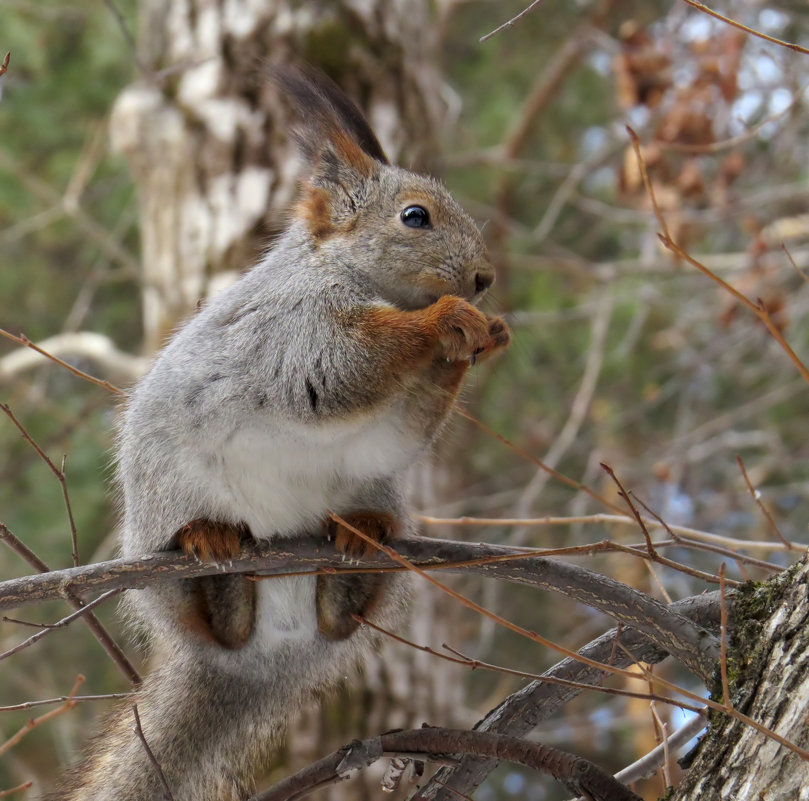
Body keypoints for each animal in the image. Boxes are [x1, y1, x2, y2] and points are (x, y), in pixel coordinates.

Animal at [45, 65, 504, 796]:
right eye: (415, 216)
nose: (484, 279)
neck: (340, 273)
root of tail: (268, 652)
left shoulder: (381, 427)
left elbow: (395, 432)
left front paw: (483, 336)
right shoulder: (293, 335)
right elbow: (343, 372)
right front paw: (448, 319)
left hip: (373, 505)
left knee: (338, 613)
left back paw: (355, 543)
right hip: (164, 531)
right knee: (212, 621)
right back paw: (214, 558)